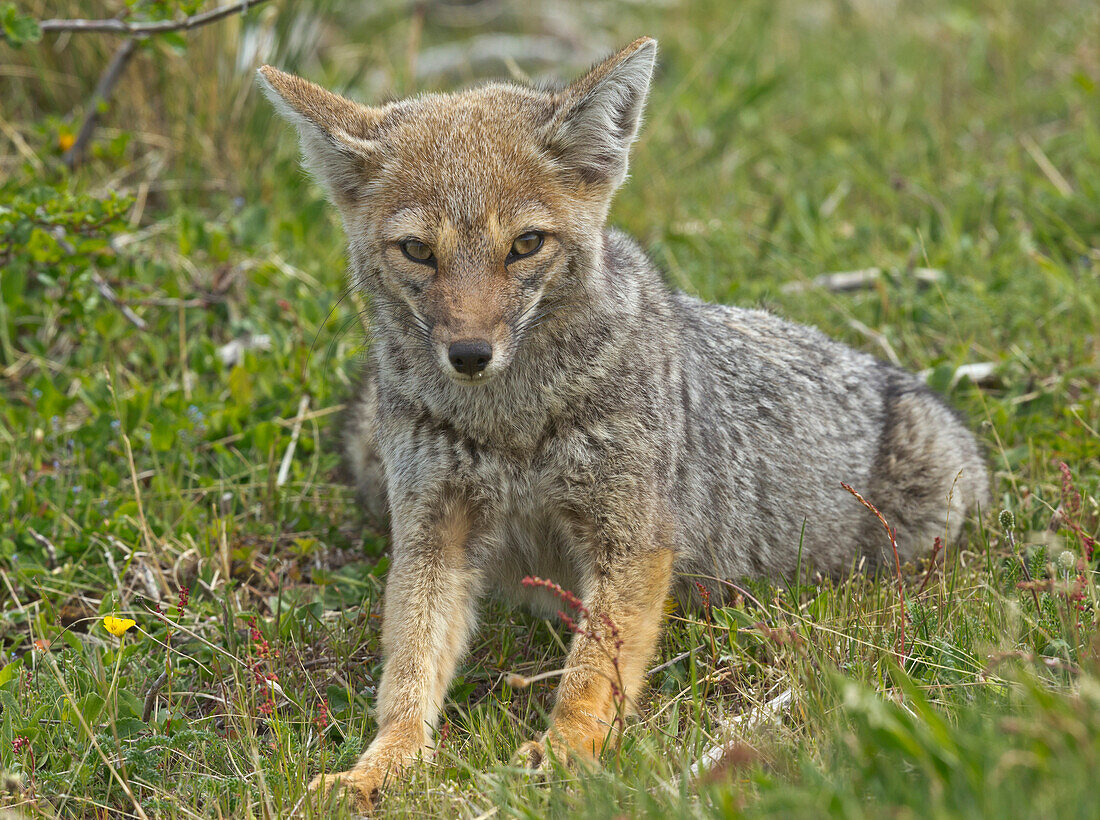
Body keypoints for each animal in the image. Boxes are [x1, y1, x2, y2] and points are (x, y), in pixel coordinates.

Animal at [261, 36, 994, 805]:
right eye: (417, 251)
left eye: (525, 245)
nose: (469, 354)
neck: (510, 427)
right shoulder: (434, 536)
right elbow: (407, 674)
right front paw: (383, 767)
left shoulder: (632, 540)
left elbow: (592, 669)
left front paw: (565, 754)